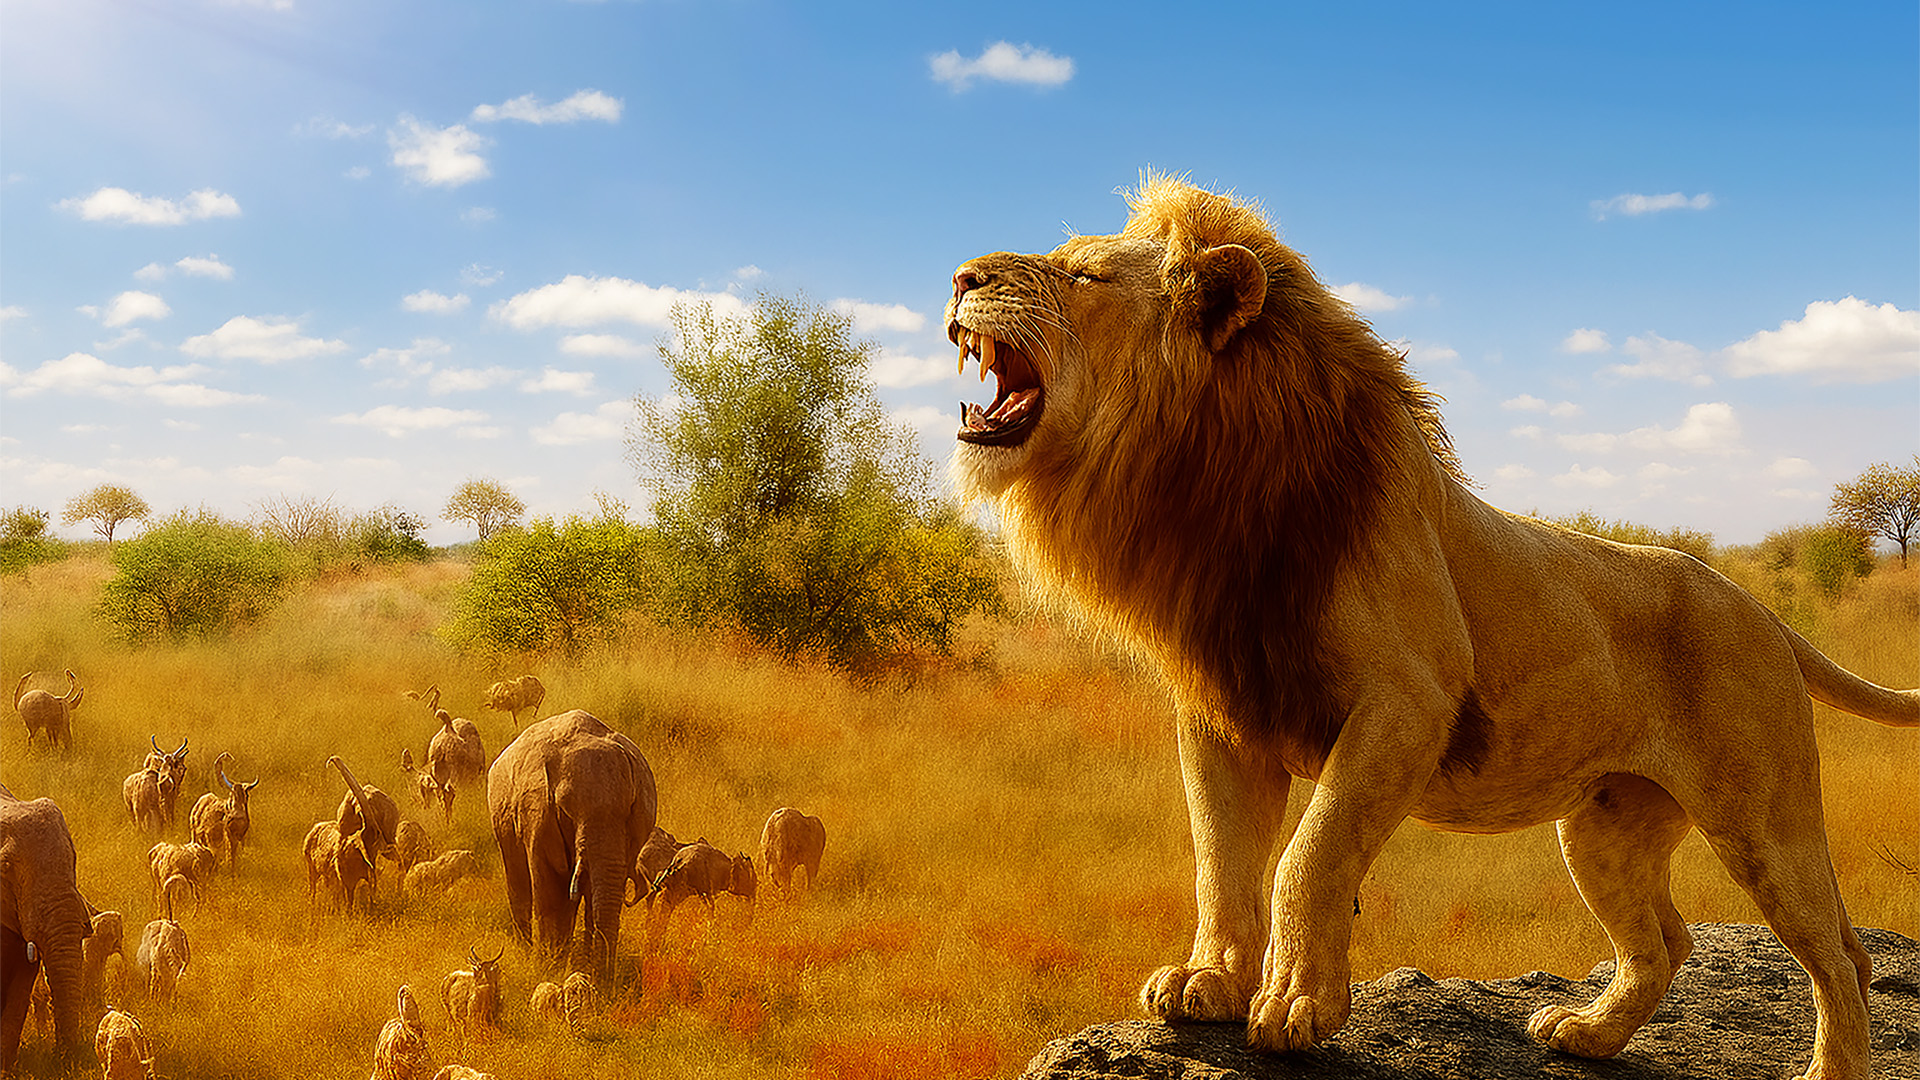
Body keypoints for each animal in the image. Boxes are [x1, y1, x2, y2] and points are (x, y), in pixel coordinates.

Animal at [945, 174, 1917, 1080]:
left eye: (1084, 275)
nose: (958, 276)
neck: (1213, 486)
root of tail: (1758, 608)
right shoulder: (1223, 714)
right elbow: (1221, 860)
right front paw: (1208, 983)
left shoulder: (1409, 699)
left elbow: (1309, 853)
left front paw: (1296, 1003)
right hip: (1603, 827)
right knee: (1667, 940)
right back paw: (1588, 1034)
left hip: (1764, 819)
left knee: (1841, 953)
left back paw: (1828, 1067)